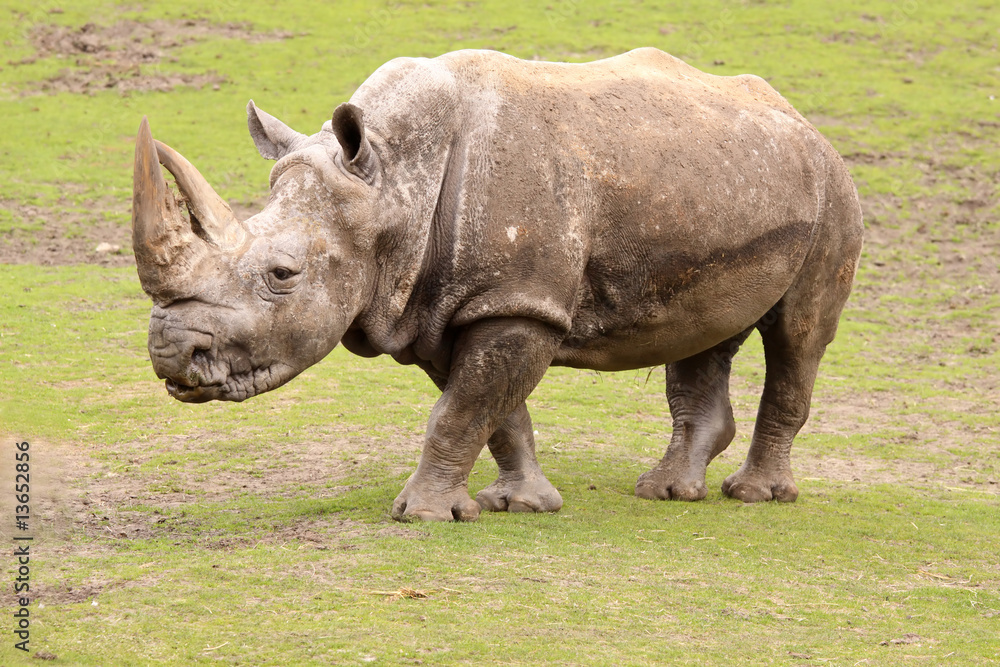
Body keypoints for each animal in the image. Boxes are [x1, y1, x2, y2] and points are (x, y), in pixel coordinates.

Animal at [132, 48, 863, 521]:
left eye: (282, 275)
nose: (170, 353)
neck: (391, 179)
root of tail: (805, 123)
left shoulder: (516, 302)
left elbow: (462, 408)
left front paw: (421, 515)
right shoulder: (442, 307)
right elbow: (491, 411)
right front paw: (517, 504)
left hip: (832, 188)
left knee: (799, 335)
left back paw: (756, 496)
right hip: (722, 184)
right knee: (704, 333)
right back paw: (666, 493)